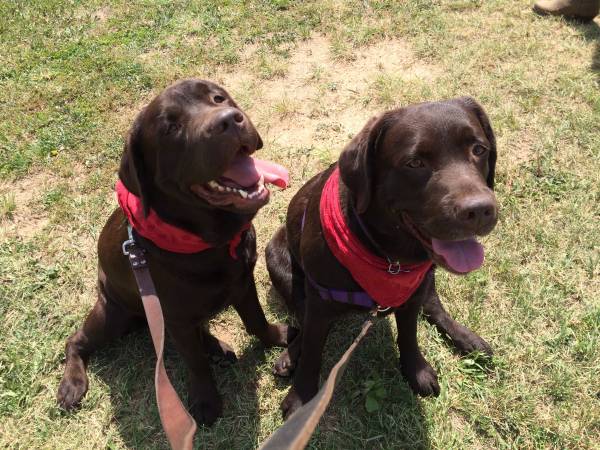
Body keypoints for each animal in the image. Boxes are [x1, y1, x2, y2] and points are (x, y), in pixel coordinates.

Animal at [266, 96, 496, 418]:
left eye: (479, 149)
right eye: (414, 163)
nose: (480, 210)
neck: (389, 258)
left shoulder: (411, 292)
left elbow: (409, 334)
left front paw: (416, 370)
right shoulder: (320, 301)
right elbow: (312, 348)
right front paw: (300, 399)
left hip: (428, 277)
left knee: (433, 305)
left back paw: (466, 337)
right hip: (277, 261)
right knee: (300, 315)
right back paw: (290, 354)